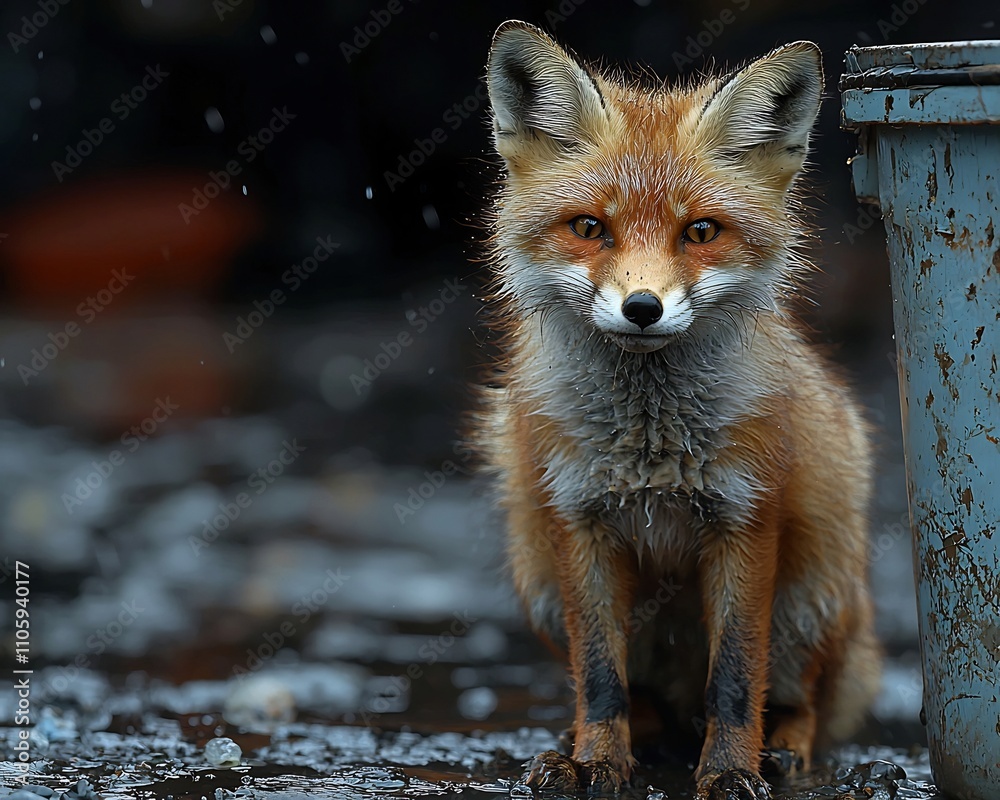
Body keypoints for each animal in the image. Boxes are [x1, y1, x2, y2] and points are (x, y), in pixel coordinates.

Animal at [473, 21, 881, 800]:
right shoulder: (578, 522)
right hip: (537, 578)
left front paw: (729, 773)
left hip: (815, 588)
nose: (642, 308)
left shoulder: (747, 520)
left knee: (804, 701)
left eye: (700, 232)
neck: (650, 447)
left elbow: (737, 680)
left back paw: (782, 750)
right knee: (643, 702)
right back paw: (585, 746)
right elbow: (600, 679)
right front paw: (598, 763)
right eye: (589, 227)